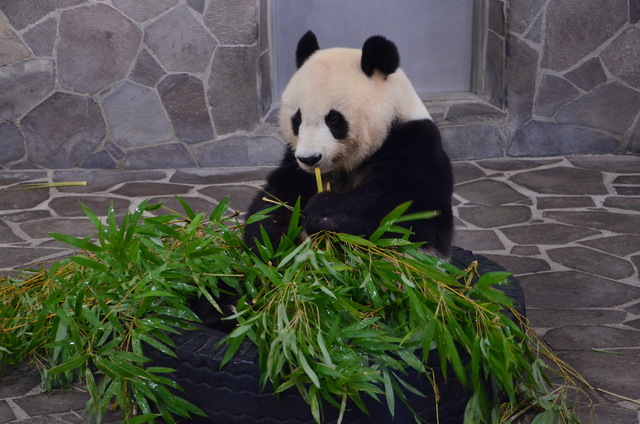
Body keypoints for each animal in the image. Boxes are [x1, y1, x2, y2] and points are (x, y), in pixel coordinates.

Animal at [242, 30, 452, 255]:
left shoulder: (414, 144)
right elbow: (276, 197)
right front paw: (269, 244)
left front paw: (323, 210)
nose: (310, 158)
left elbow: (402, 206)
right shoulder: (293, 161)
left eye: (333, 119)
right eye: (297, 119)